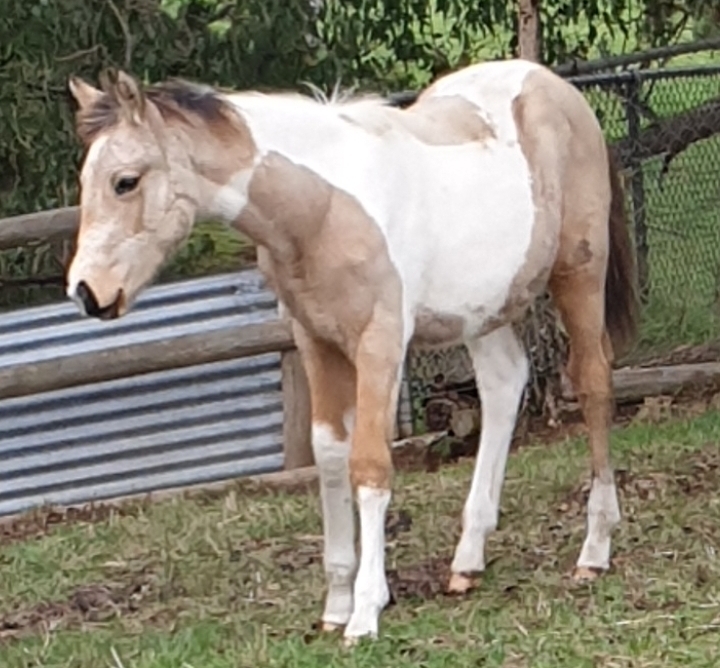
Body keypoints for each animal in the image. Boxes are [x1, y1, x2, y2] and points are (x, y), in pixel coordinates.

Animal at [66, 59, 638, 643]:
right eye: (87, 182)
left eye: (125, 181)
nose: (86, 293)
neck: (322, 209)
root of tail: (552, 82)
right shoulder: (315, 342)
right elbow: (330, 456)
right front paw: (337, 602)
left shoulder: (379, 342)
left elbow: (369, 463)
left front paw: (365, 612)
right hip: (483, 307)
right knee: (504, 385)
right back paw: (467, 561)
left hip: (578, 272)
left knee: (592, 382)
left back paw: (594, 550)